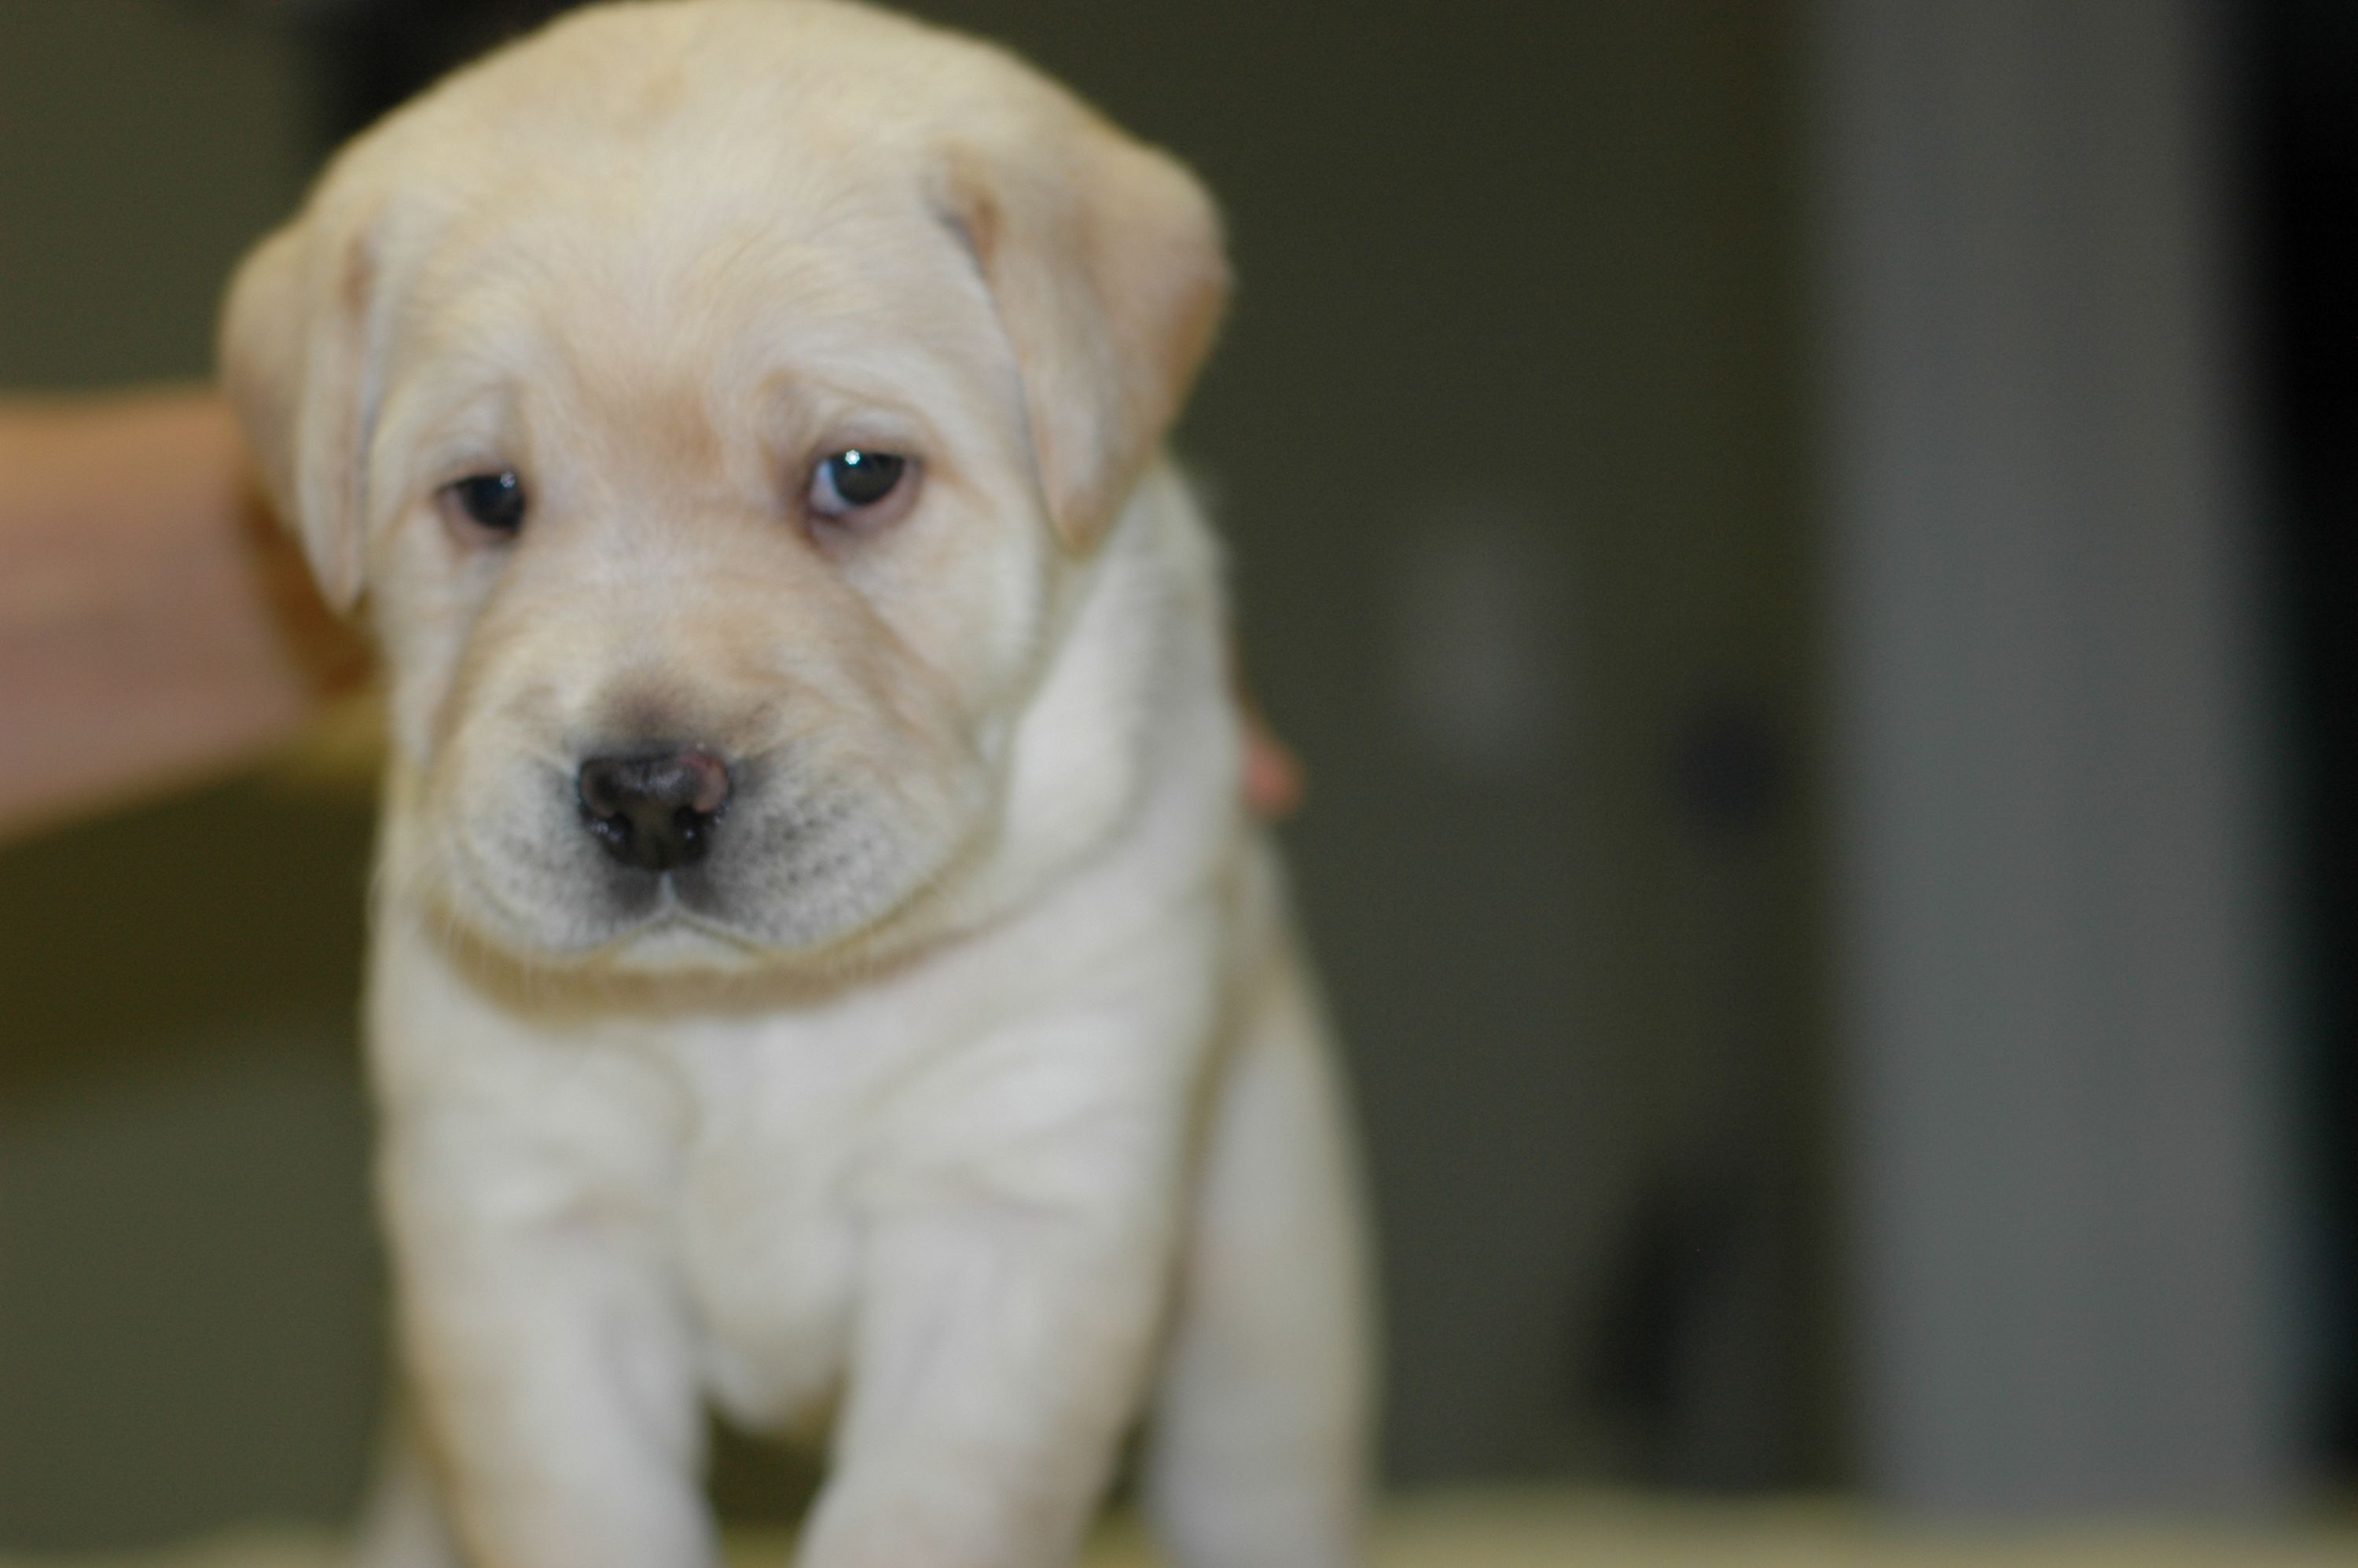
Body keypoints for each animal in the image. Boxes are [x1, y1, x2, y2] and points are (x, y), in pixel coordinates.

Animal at [225, 2, 1377, 1566]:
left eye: (858, 473)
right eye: (489, 497)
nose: (650, 793)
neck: (753, 1015)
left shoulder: (1020, 1212)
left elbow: (922, 1516)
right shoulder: (521, 1234)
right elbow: (583, 1512)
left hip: (1265, 1333)